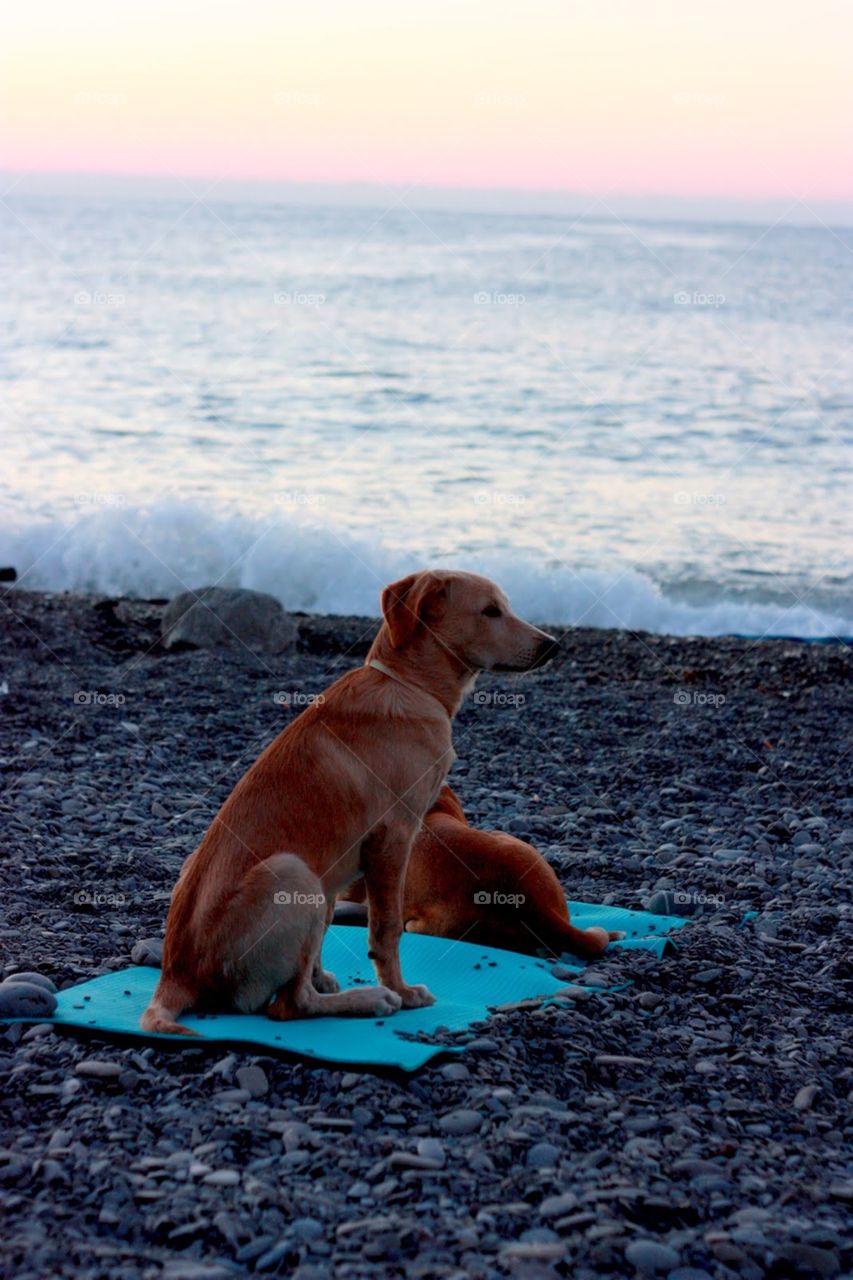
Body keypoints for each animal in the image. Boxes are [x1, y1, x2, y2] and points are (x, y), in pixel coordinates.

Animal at [140, 570, 550, 1029]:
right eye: (490, 611)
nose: (553, 645)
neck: (409, 685)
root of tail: (174, 975)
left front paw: (333, 976)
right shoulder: (394, 838)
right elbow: (387, 929)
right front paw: (402, 990)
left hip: (307, 882)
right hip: (293, 874)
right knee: (290, 1005)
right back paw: (370, 999)